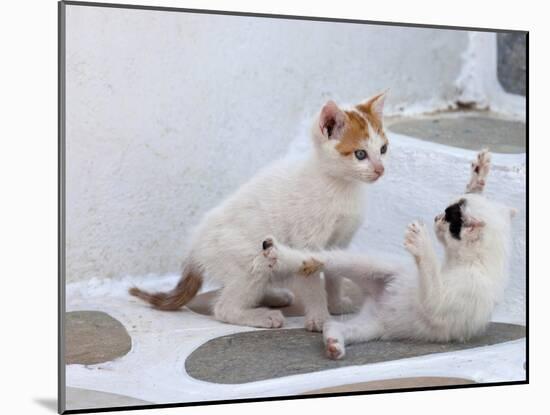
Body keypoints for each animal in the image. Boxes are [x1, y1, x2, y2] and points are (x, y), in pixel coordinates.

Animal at [130, 93, 390, 332]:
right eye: (360, 154)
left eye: (383, 149)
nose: (380, 169)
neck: (341, 186)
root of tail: (195, 249)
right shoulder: (307, 241)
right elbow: (313, 282)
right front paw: (320, 318)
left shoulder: (340, 241)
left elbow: (335, 273)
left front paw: (336, 304)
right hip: (250, 260)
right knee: (224, 308)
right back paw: (262, 316)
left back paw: (274, 296)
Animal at [258, 150, 516, 358]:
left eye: (447, 216)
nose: (435, 217)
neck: (473, 263)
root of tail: (376, 300)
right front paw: (478, 176)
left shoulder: (445, 303)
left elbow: (432, 282)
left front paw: (421, 242)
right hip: (368, 265)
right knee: (320, 260)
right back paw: (280, 255)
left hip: (370, 326)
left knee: (336, 326)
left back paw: (333, 342)